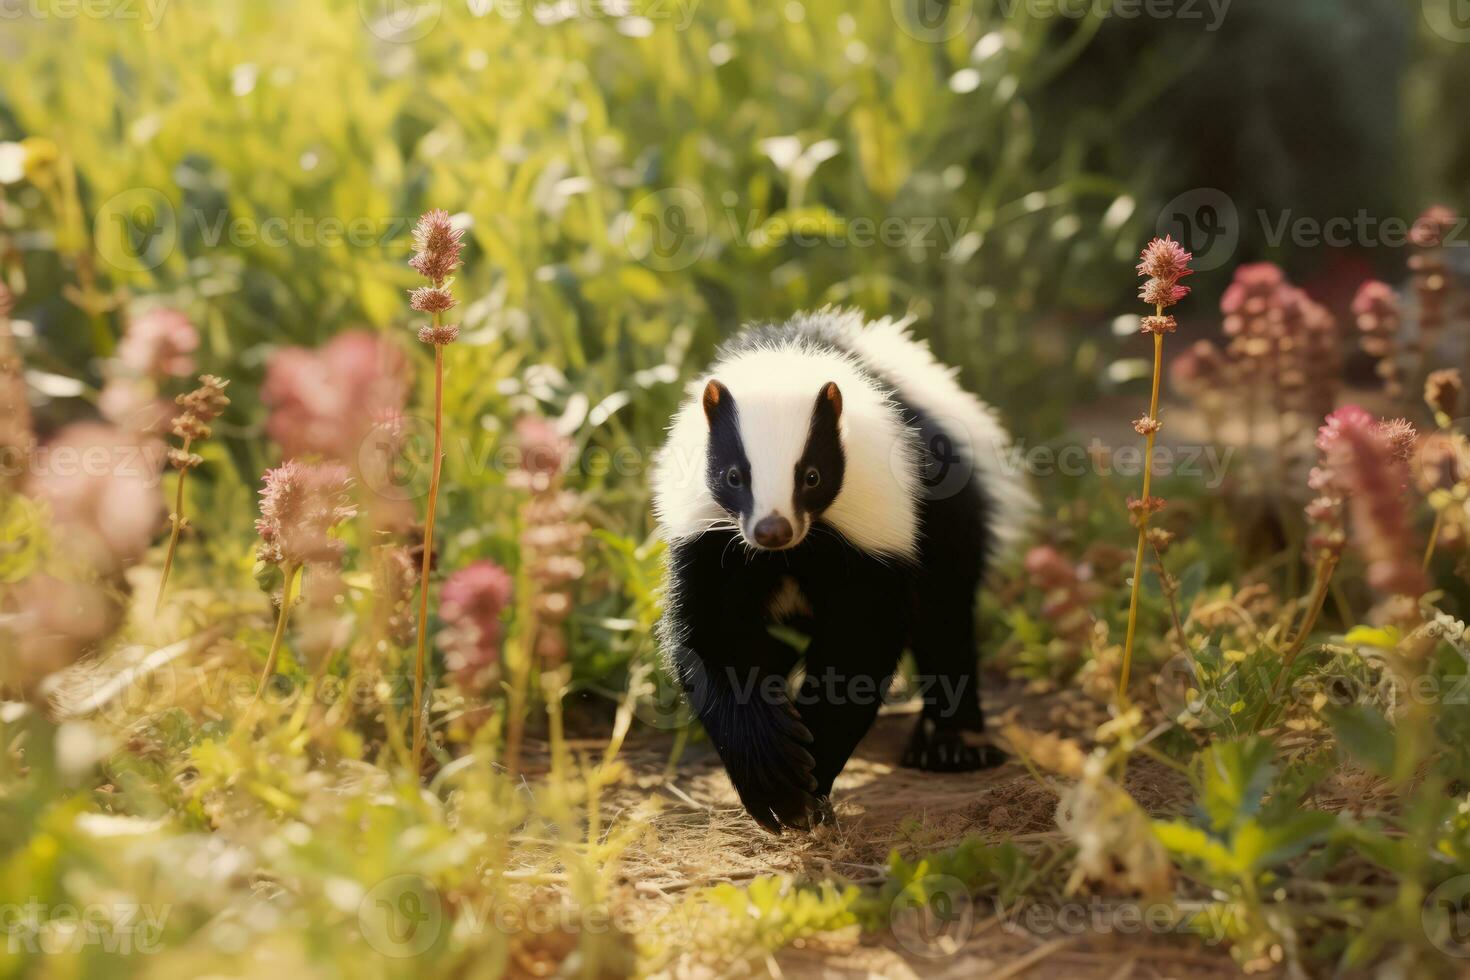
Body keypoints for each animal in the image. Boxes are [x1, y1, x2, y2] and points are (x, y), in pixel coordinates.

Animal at [655, 310, 1034, 834]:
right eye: (734, 476)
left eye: (812, 476)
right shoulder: (711, 545)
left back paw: (951, 746)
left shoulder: (871, 542)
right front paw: (774, 772)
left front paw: (807, 778)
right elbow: (714, 639)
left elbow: (859, 643)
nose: (773, 529)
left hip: (951, 513)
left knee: (946, 615)